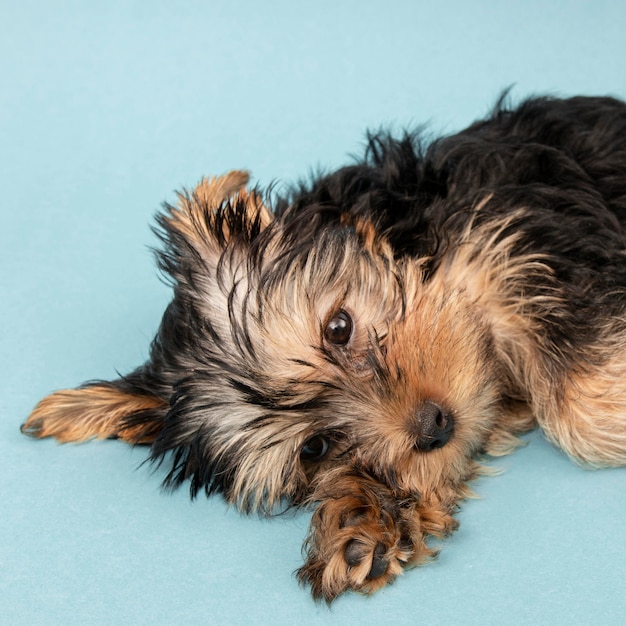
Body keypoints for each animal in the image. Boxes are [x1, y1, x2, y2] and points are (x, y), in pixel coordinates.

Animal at [22, 94, 624, 600]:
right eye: (315, 448)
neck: (417, 240)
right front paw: (363, 520)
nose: (434, 426)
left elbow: (578, 413)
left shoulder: (528, 221)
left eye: (338, 328)